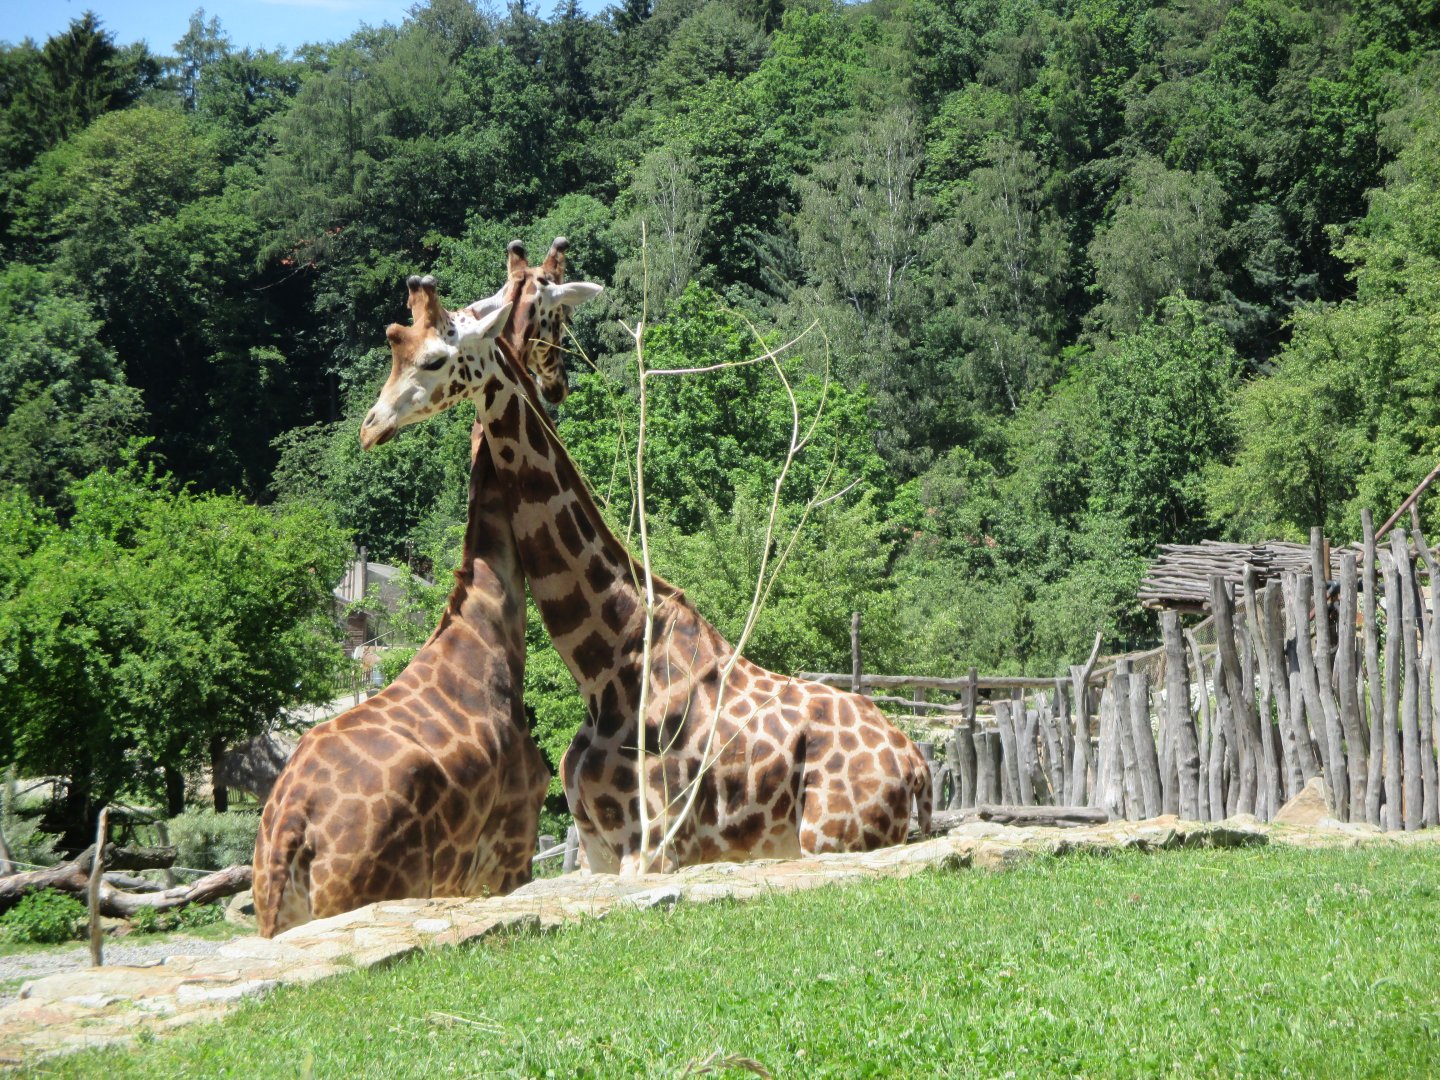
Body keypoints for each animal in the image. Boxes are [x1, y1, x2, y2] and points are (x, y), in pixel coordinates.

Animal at [252, 288, 549, 939]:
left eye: (430, 359)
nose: (370, 428)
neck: (485, 624)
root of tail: (291, 834)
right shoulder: (511, 846)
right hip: (376, 888)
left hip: (277, 914)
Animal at [359, 258, 932, 876]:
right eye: (395, 349)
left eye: (433, 358)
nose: (370, 427)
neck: (606, 664)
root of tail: (918, 766)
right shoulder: (597, 847)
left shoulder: (654, 844)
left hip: (832, 838)